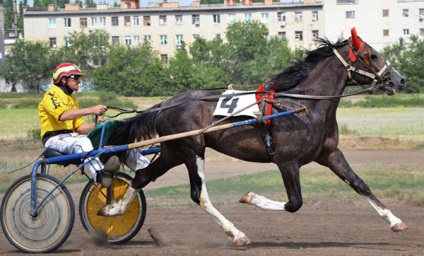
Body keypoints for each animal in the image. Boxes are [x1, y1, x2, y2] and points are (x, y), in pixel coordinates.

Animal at [99, 28, 408, 246]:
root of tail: (165, 104)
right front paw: (250, 198)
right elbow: (294, 203)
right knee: (199, 195)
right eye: (373, 55)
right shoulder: (287, 162)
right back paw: (237, 235)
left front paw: (395, 221)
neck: (303, 105)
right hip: (191, 150)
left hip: (173, 151)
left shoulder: (329, 154)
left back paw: (113, 210)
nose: (400, 79)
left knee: (142, 177)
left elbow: (359, 184)